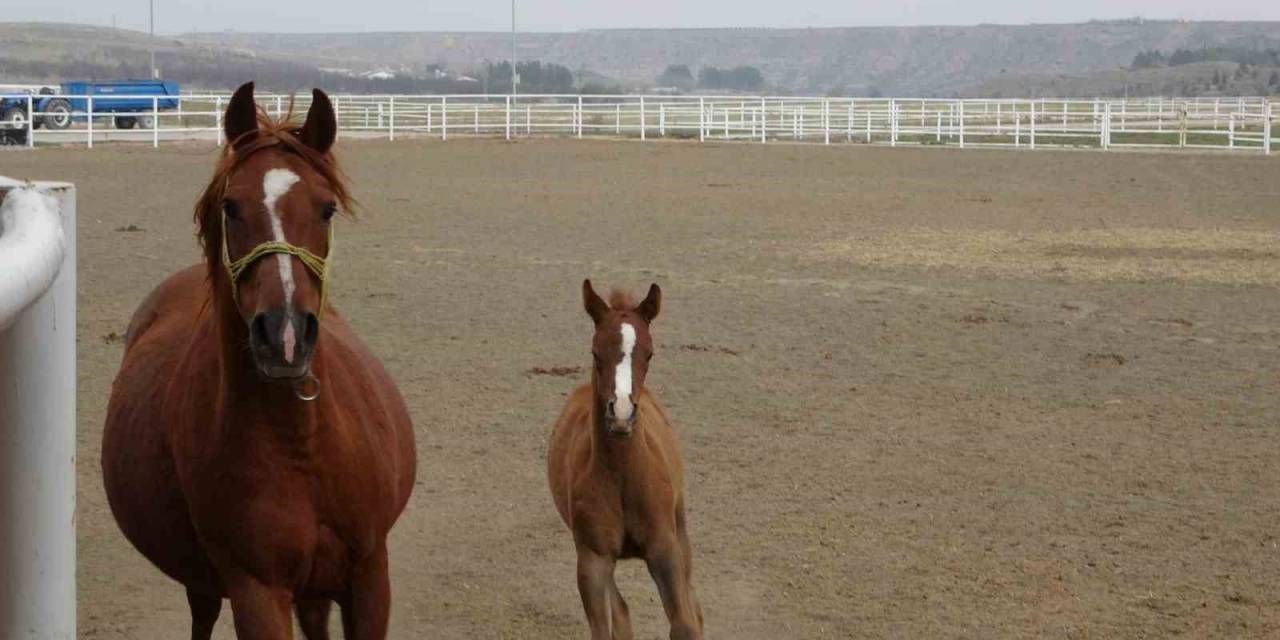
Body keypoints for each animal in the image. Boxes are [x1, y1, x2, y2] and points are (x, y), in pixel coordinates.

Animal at [104, 81, 417, 640]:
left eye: (326, 208)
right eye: (231, 206)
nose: (284, 334)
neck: (303, 445)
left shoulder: (369, 575)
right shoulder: (258, 593)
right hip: (206, 581)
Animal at [545, 281, 706, 640]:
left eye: (649, 353)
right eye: (595, 352)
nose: (620, 414)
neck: (622, 477)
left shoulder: (664, 549)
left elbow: (685, 624)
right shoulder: (593, 559)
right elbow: (606, 626)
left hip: (680, 528)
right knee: (621, 612)